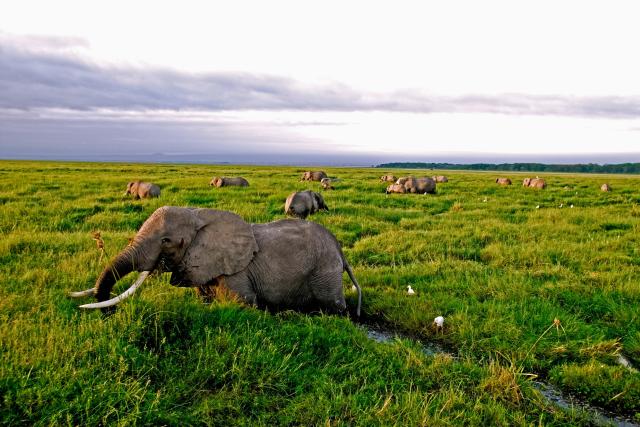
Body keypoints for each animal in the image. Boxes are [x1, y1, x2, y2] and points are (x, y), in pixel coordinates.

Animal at [69, 206, 361, 316]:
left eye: (166, 241)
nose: (111, 313)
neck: (199, 215)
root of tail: (340, 250)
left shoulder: (237, 273)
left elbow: (243, 304)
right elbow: (204, 299)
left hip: (324, 272)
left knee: (333, 306)